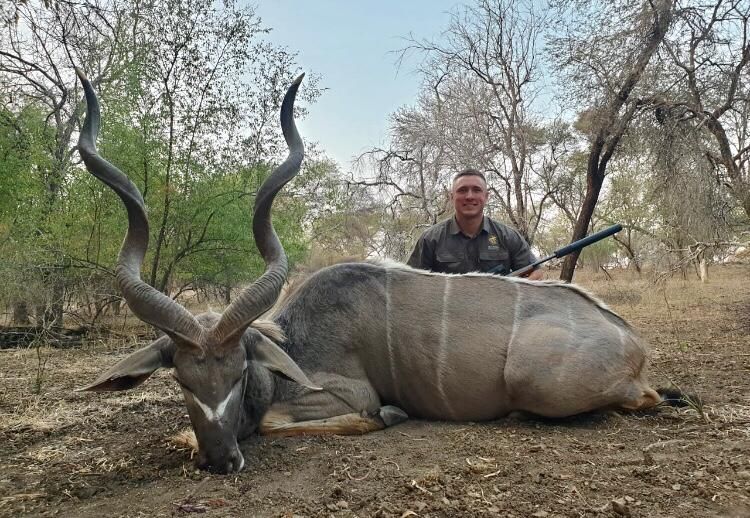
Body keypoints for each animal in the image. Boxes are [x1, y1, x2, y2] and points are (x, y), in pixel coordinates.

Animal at [75, 70, 681, 474]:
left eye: (239, 369)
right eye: (181, 378)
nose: (223, 460)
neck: (294, 340)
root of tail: (633, 343)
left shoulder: (345, 394)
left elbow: (290, 419)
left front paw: (388, 416)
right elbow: (186, 432)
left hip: (539, 382)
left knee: (644, 401)